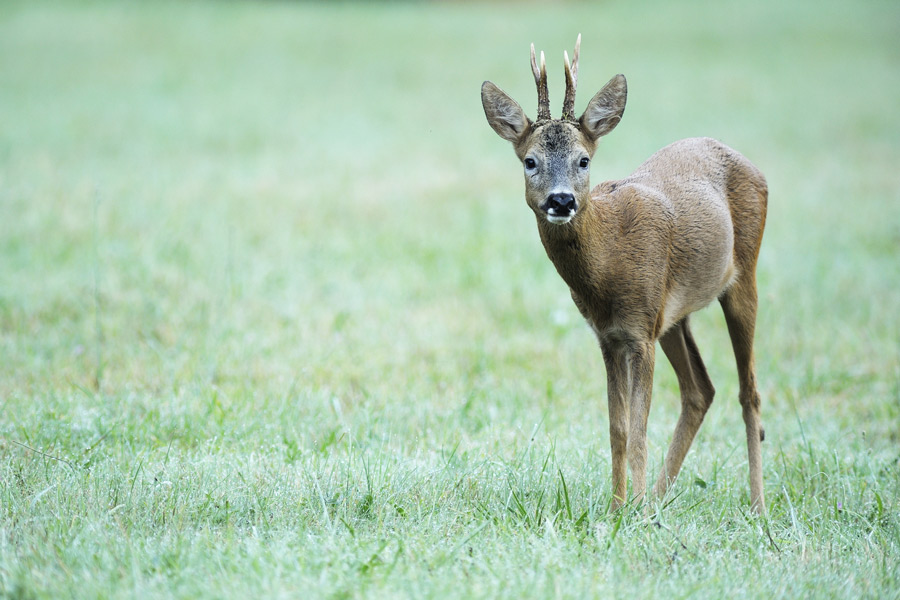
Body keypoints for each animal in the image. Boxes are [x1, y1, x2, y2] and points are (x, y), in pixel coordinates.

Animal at [482, 36, 768, 516]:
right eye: (530, 161)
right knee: (700, 390)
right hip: (671, 317)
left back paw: (757, 506)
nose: (561, 201)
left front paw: (630, 509)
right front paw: (618, 508)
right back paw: (657, 498)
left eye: (583, 160)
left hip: (743, 275)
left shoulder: (639, 333)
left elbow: (638, 427)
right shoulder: (612, 335)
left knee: (749, 392)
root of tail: (755, 167)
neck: (608, 263)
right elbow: (618, 428)